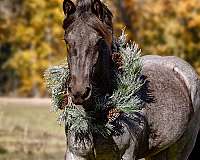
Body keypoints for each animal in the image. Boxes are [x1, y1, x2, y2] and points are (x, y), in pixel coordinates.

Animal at [62, 0, 200, 160]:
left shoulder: (126, 154)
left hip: (181, 148)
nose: (79, 92)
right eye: (67, 41)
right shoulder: (75, 154)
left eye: (98, 41)